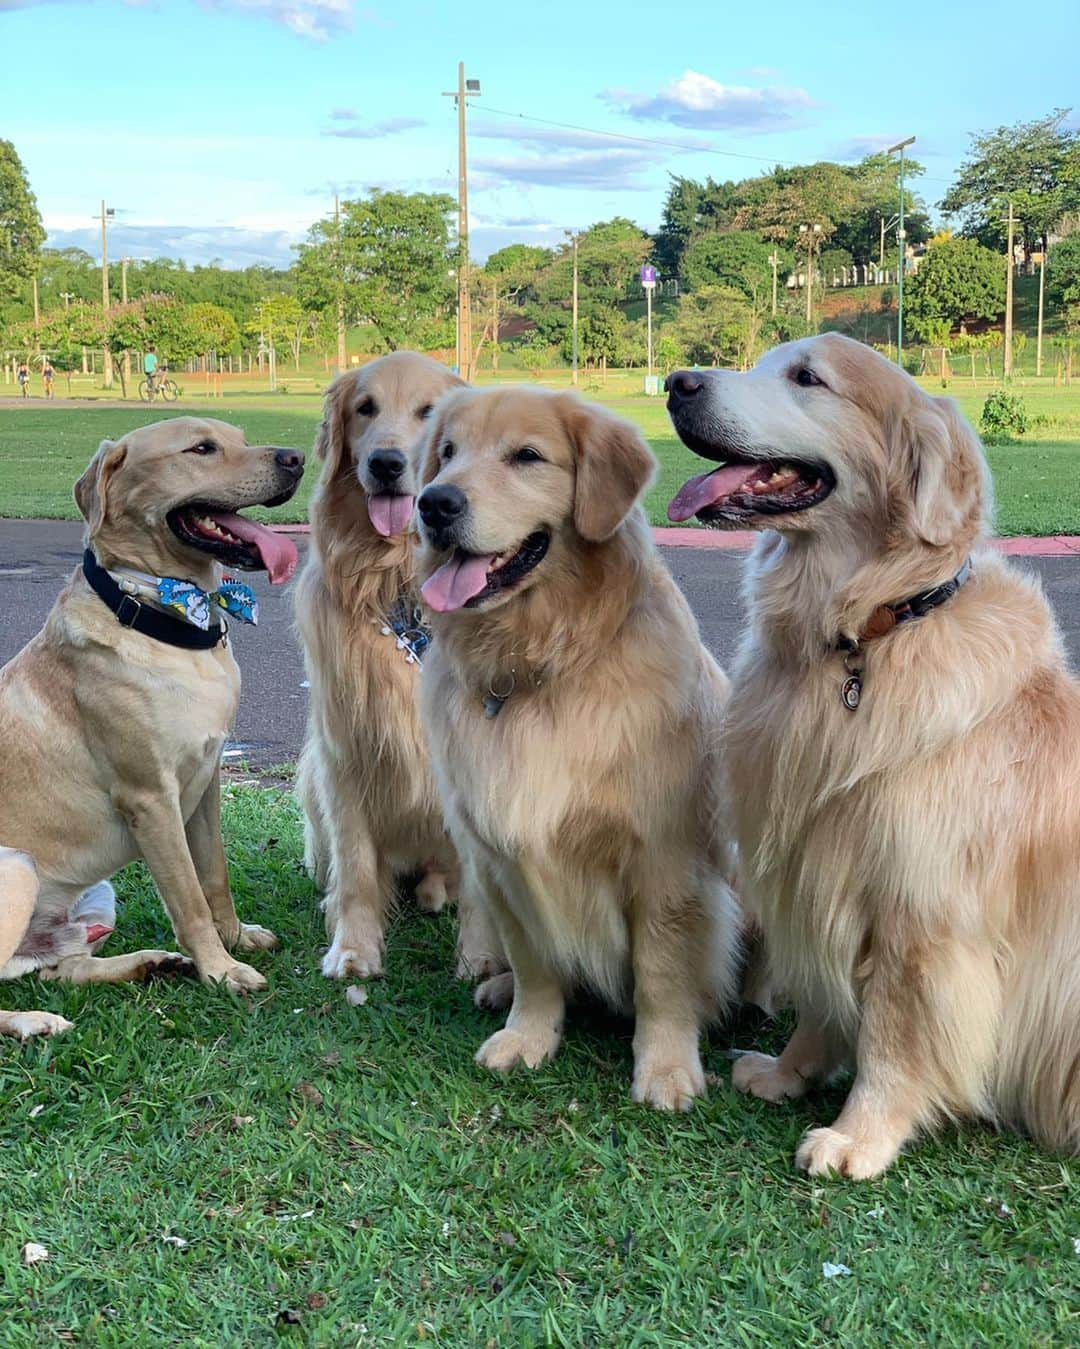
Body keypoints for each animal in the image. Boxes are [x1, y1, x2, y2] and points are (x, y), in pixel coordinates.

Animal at [0, 415, 300, 1036]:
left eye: (239, 438)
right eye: (202, 448)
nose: (297, 458)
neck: (164, 613)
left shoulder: (206, 782)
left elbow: (214, 877)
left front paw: (236, 940)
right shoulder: (151, 800)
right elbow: (188, 897)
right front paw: (221, 970)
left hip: (90, 900)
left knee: (62, 968)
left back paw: (149, 964)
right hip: (16, 868)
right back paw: (32, 1022)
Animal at [295, 348, 506, 982]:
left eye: (427, 412)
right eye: (364, 408)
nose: (386, 464)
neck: (396, 579)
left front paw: (482, 957)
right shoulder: (344, 751)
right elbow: (358, 868)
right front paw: (354, 948)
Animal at [412, 383, 744, 1106]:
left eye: (526, 456)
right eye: (446, 453)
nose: (432, 503)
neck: (538, 664)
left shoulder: (665, 862)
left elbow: (662, 974)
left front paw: (666, 1066)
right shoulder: (499, 859)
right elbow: (535, 962)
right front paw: (528, 1034)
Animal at [660, 331, 1078, 1176]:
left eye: (807, 377)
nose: (675, 382)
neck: (867, 632)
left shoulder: (922, 919)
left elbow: (895, 1034)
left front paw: (861, 1133)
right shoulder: (813, 871)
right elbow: (821, 1004)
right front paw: (788, 1072)